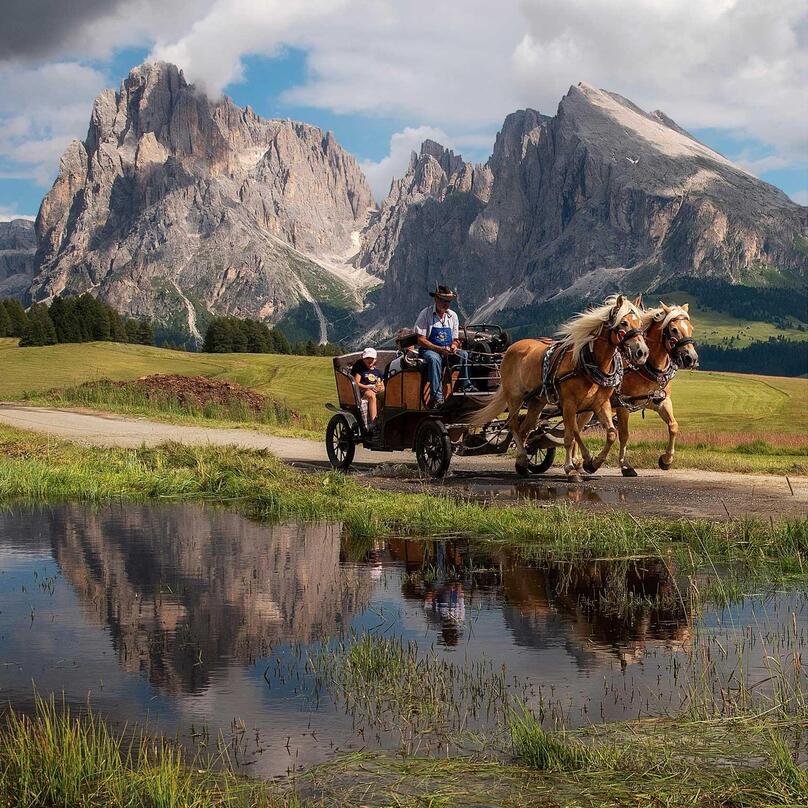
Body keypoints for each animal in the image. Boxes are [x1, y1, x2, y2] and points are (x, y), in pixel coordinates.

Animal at [471, 295, 649, 480]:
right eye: (623, 323)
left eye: (640, 323)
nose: (642, 352)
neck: (588, 365)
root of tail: (511, 348)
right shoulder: (569, 404)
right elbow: (570, 435)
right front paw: (572, 468)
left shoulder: (600, 403)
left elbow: (611, 433)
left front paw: (592, 463)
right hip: (515, 398)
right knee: (514, 426)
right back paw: (522, 459)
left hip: (536, 402)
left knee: (525, 429)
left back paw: (522, 463)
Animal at [612, 302, 698, 477]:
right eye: (674, 329)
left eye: (691, 328)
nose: (692, 358)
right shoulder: (622, 403)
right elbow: (624, 434)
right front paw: (625, 466)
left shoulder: (661, 401)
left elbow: (673, 426)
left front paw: (666, 460)